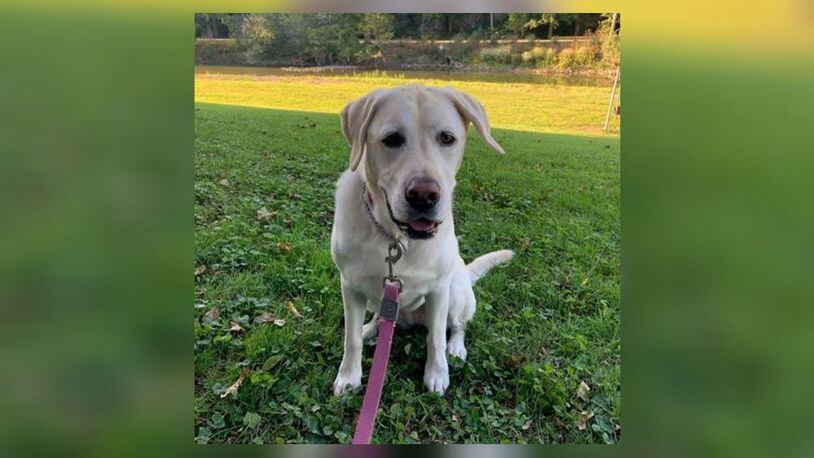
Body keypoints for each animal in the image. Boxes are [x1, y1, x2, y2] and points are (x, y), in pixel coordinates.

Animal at [330, 85, 510, 394]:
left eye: (447, 138)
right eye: (391, 139)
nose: (424, 195)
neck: (397, 238)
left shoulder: (438, 290)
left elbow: (435, 338)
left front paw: (437, 374)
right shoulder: (350, 285)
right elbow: (350, 339)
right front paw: (349, 377)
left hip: (456, 293)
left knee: (458, 325)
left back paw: (456, 348)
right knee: (380, 316)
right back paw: (371, 328)